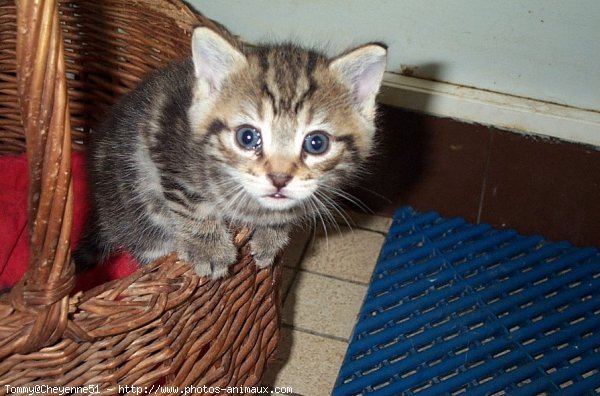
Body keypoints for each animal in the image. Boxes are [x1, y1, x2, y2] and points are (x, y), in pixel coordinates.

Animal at [72, 26, 386, 278]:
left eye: (316, 143)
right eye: (247, 137)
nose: (279, 179)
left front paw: (272, 236)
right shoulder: (168, 150)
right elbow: (192, 203)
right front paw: (209, 249)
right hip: (139, 224)